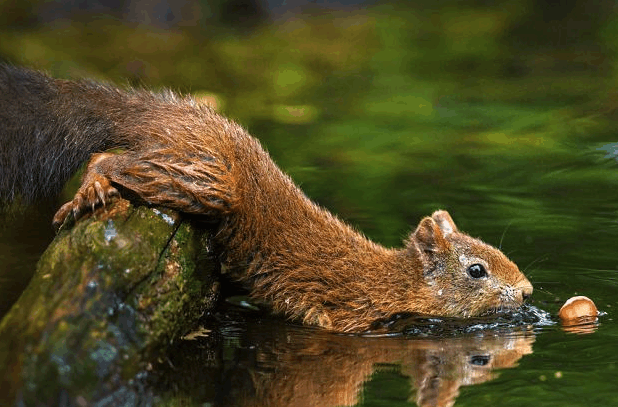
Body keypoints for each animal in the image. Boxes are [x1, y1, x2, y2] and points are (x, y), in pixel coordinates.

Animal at [0, 65, 528, 334]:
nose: (526, 292)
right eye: (477, 270)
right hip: (203, 180)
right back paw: (90, 189)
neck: (391, 282)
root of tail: (176, 115)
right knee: (106, 157)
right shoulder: (346, 312)